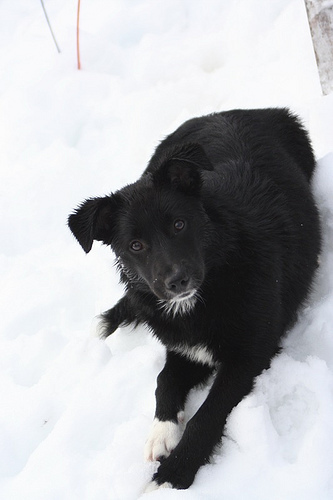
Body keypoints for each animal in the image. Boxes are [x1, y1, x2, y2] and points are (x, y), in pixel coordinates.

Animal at [67, 107, 320, 490]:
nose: (176, 281)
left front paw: (174, 473)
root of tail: (230, 112)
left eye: (179, 225)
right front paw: (161, 434)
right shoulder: (183, 347)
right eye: (135, 245)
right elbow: (164, 380)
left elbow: (208, 414)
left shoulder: (249, 355)